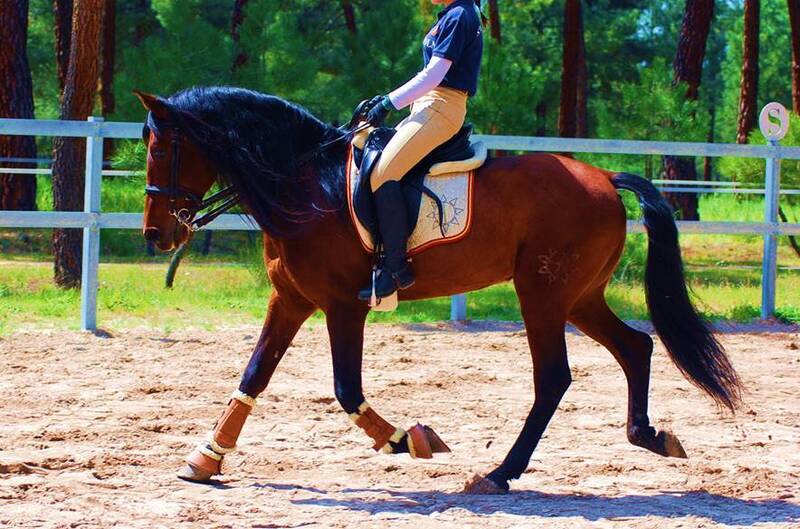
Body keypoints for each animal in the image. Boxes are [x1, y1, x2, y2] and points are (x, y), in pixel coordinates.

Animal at [133, 86, 741, 493]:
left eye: (161, 151)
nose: (156, 235)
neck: (308, 185)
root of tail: (604, 179)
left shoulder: (342, 305)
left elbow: (346, 389)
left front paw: (409, 438)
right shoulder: (291, 299)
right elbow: (253, 377)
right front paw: (205, 460)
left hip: (543, 295)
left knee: (554, 376)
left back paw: (501, 473)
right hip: (579, 297)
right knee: (636, 346)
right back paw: (648, 435)